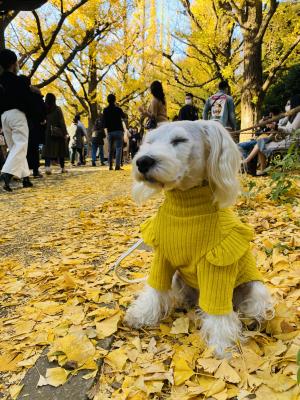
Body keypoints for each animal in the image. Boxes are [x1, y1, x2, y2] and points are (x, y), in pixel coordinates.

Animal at [124, 119, 274, 356]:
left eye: (179, 140)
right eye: (150, 141)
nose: (143, 161)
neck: (186, 208)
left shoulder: (217, 264)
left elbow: (219, 311)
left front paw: (222, 345)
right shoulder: (163, 257)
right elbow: (155, 289)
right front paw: (141, 315)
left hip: (255, 288)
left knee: (251, 307)